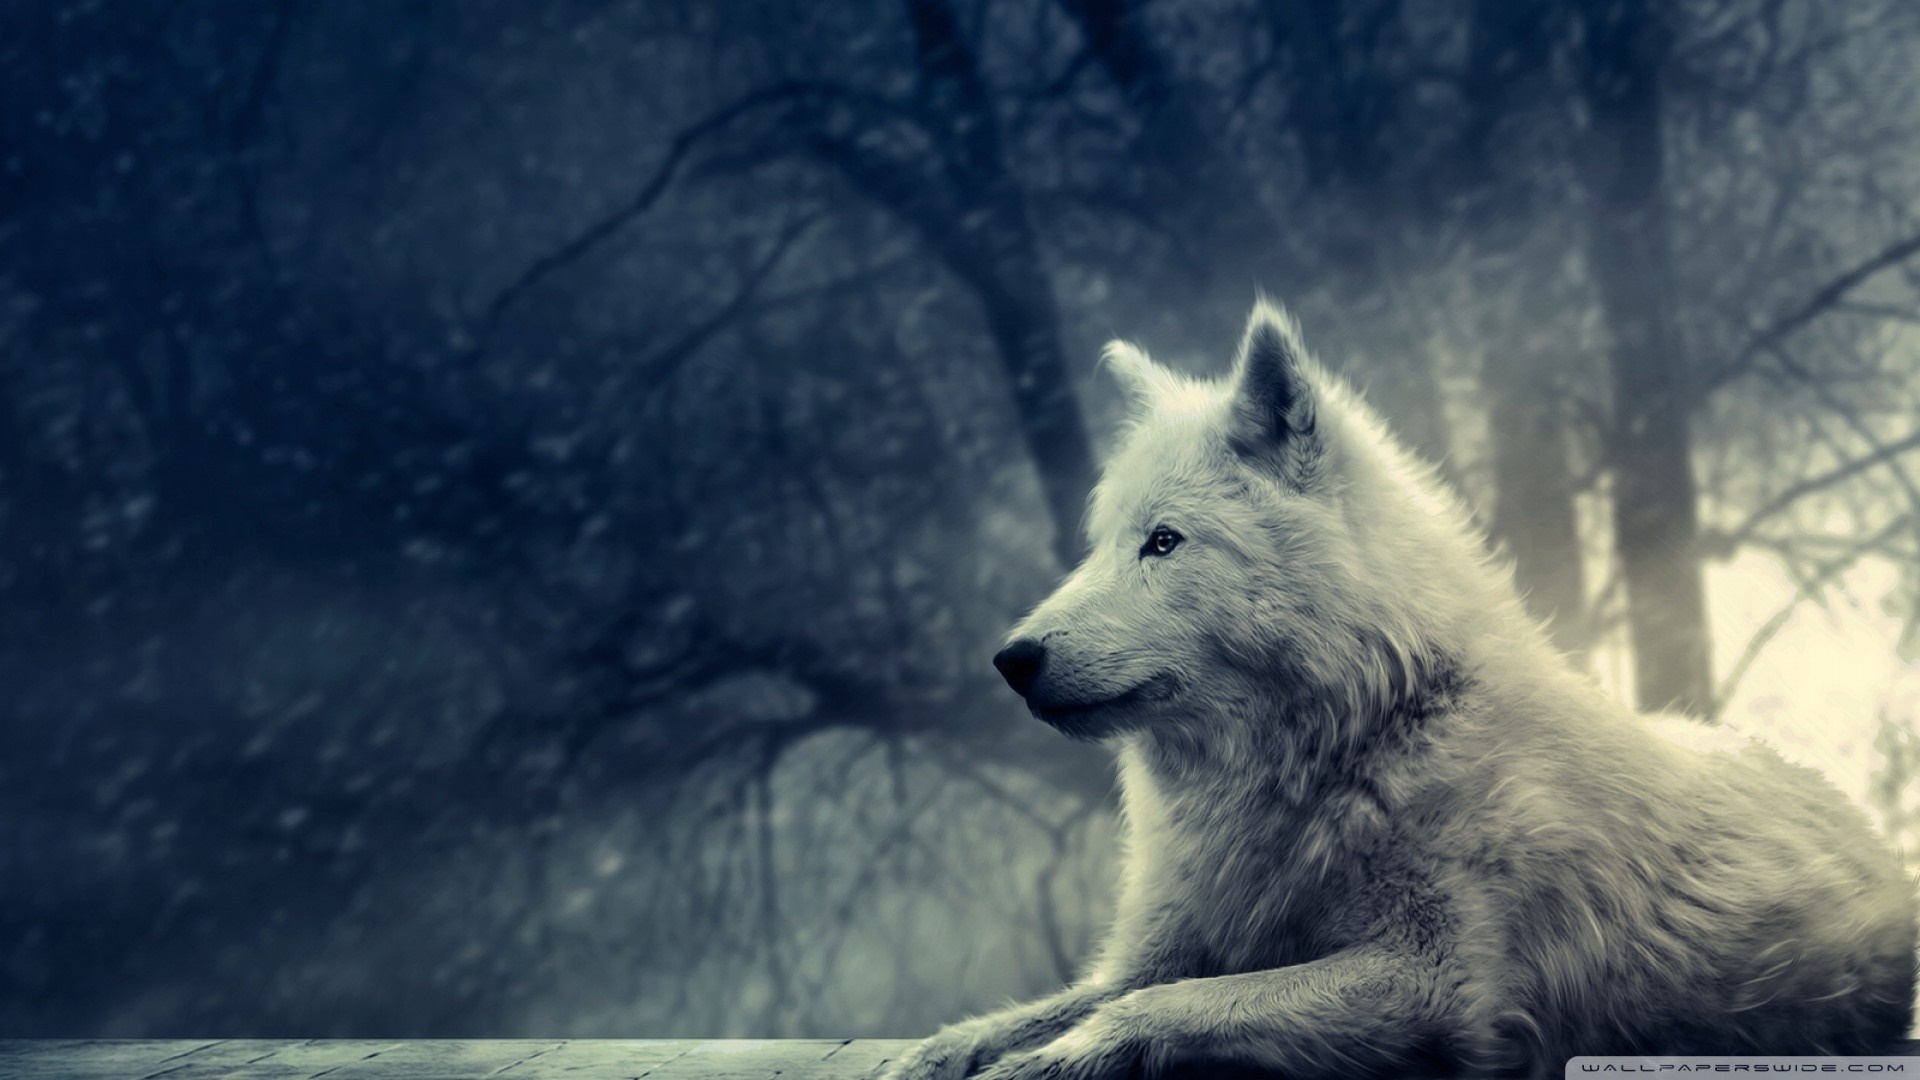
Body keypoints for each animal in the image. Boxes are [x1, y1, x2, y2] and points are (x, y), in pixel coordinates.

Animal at [884, 304, 1916, 1079]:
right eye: (1100, 545)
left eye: (1164, 542)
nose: (1011, 659)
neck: (1356, 739)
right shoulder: (1158, 947)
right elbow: (1039, 1010)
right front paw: (939, 1053)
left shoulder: (1434, 983)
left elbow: (1163, 1007)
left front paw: (1053, 1059)